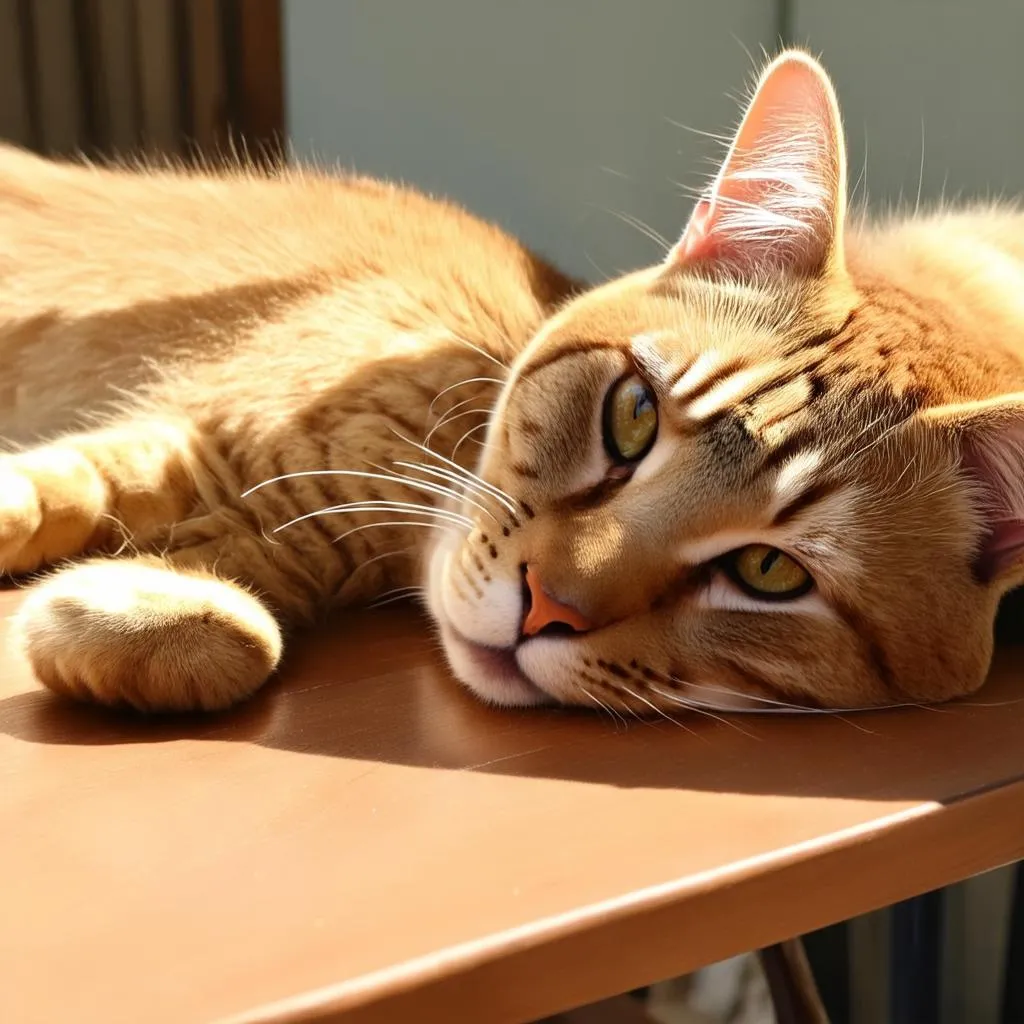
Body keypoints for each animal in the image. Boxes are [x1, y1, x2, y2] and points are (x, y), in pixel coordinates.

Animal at [2, 49, 1024, 720]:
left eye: (770, 573)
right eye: (632, 414)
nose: (546, 607)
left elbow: (230, 636)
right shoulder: (183, 442)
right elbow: (52, 492)